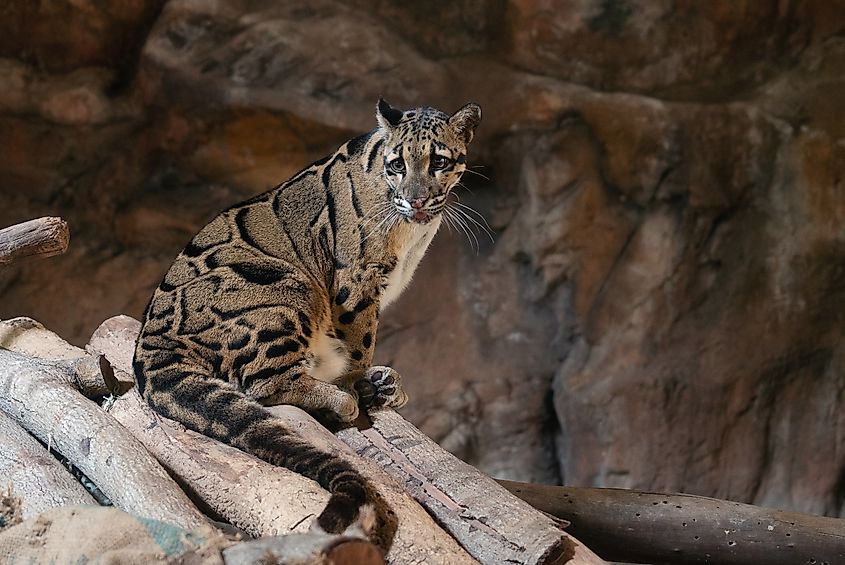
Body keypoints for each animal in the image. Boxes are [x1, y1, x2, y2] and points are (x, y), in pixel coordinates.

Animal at [132, 98, 482, 546]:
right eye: (397, 165)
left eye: (438, 161)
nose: (416, 200)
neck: (411, 231)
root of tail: (149, 342)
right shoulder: (355, 281)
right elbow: (360, 344)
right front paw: (359, 384)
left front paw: (377, 384)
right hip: (287, 284)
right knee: (263, 384)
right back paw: (341, 399)